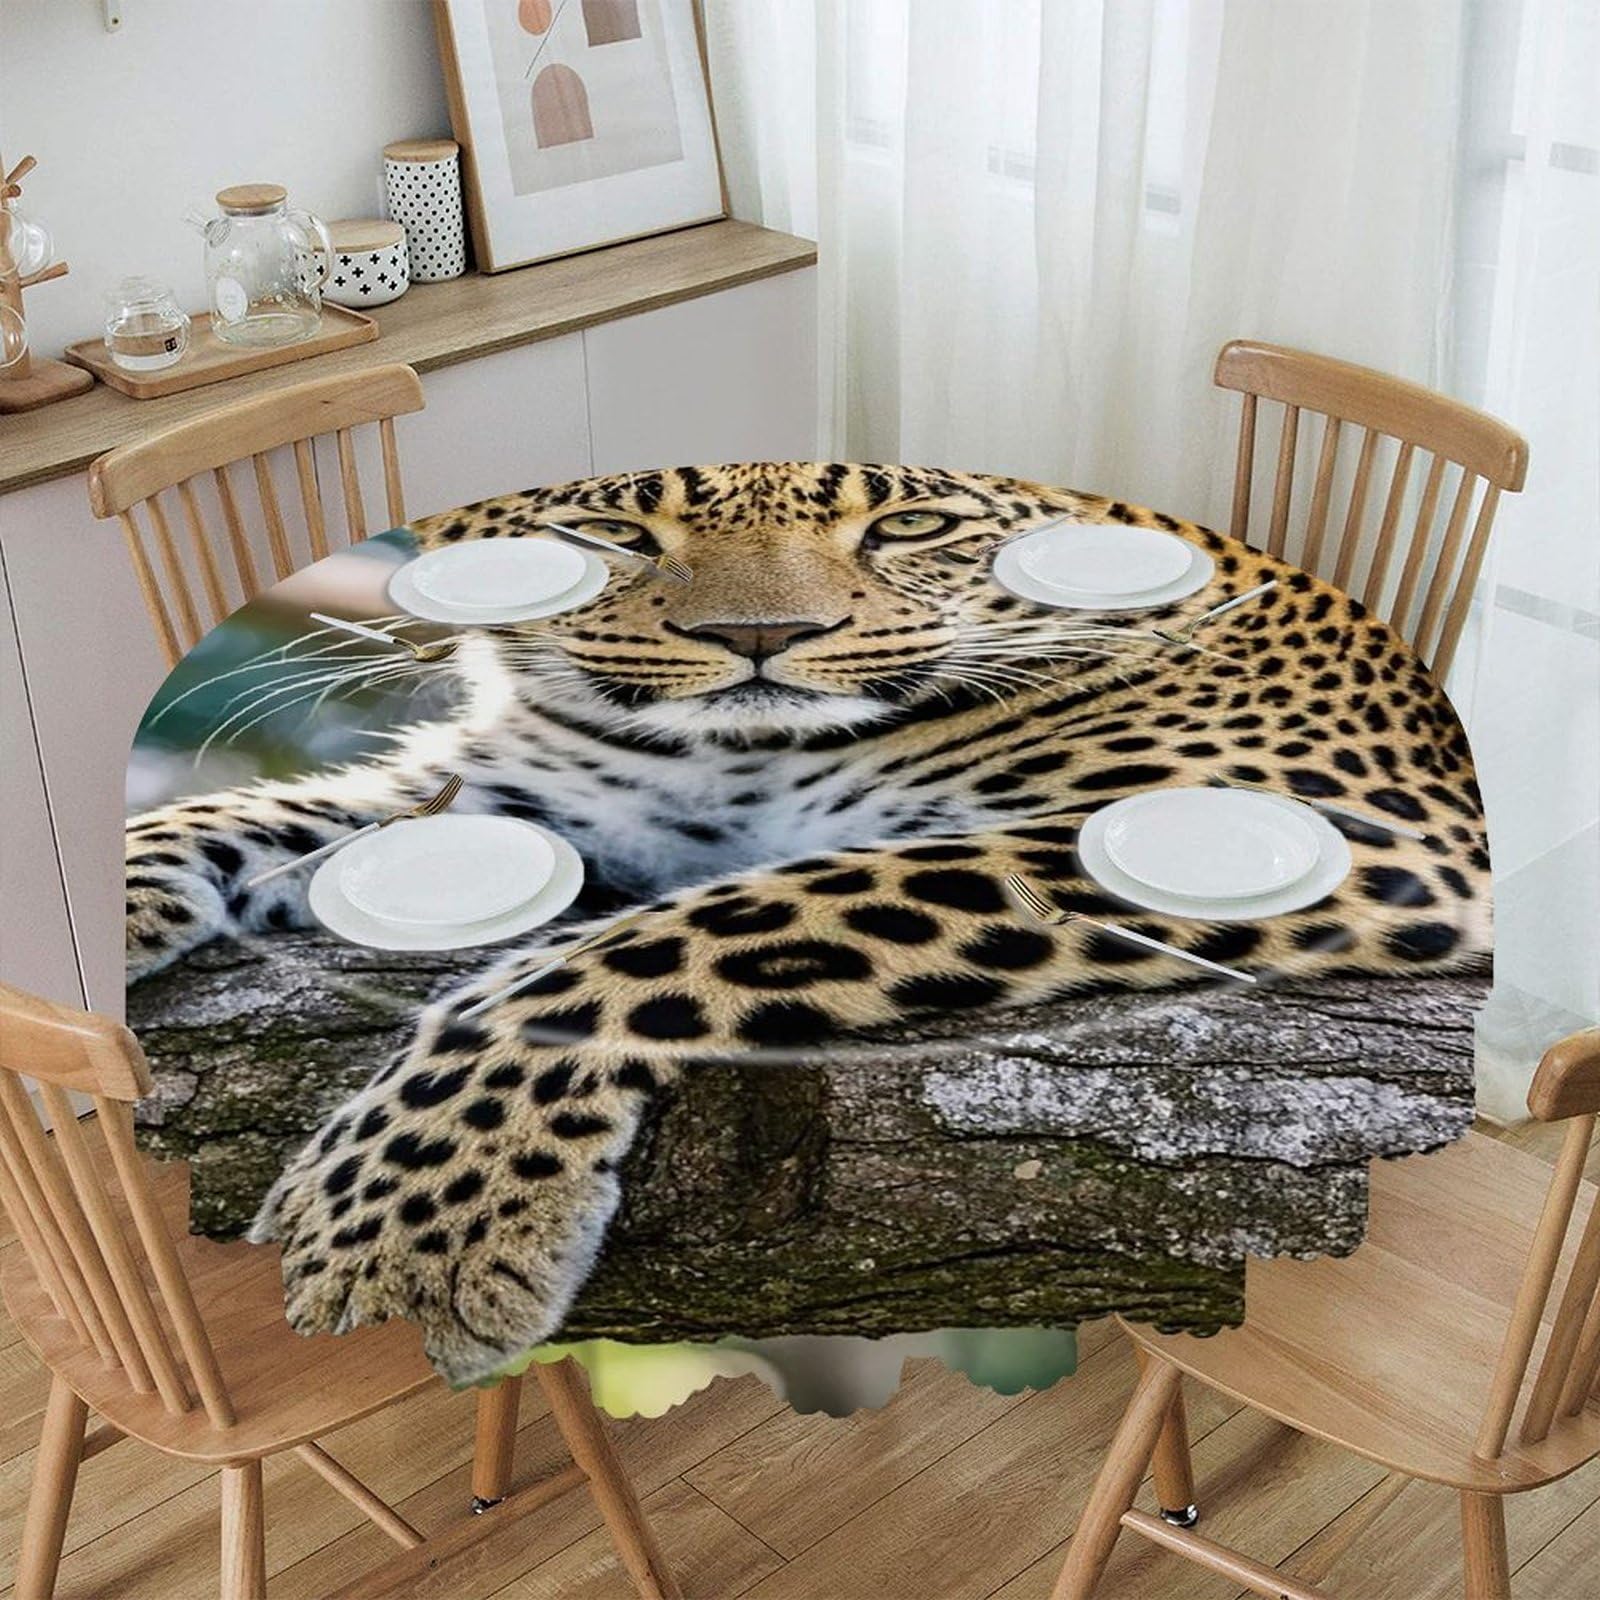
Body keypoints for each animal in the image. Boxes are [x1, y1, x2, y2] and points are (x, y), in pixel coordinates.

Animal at [124, 462, 1491, 1383]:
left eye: (910, 527)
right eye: (610, 533)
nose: (760, 640)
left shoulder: (1375, 838)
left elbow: (675, 931)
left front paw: (413, 1223)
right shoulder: (540, 802)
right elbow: (281, 811)